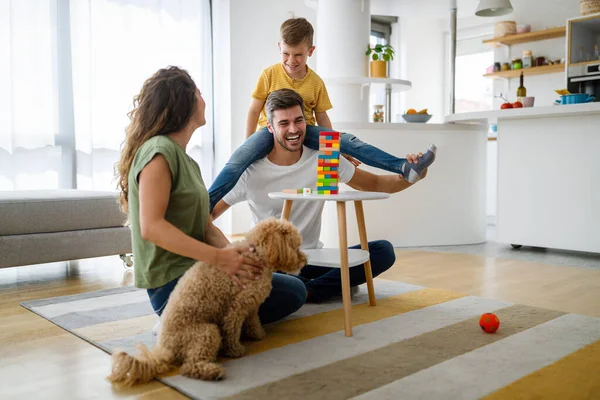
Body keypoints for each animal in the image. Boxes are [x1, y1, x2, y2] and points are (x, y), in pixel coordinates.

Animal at [105, 217, 308, 386]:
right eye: (296, 246)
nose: (305, 261)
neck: (257, 254)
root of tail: (164, 348)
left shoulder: (251, 305)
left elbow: (253, 321)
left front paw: (257, 334)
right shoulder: (235, 308)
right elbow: (232, 331)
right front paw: (235, 351)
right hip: (206, 332)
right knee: (189, 366)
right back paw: (213, 371)